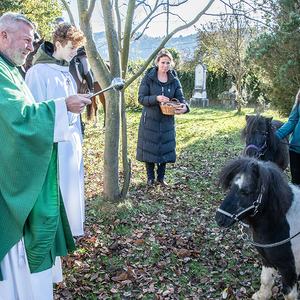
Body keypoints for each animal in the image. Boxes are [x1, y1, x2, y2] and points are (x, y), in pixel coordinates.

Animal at [216, 157, 300, 300]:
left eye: (246, 192)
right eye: (231, 187)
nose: (219, 219)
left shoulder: (290, 271)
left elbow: (289, 295)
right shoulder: (267, 259)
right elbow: (266, 279)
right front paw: (261, 296)